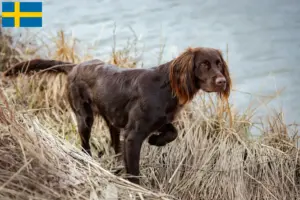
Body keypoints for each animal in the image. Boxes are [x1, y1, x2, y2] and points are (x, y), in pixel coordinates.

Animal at [4, 47, 232, 184]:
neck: (166, 87)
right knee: (85, 145)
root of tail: (75, 66)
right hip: (84, 117)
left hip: (111, 118)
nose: (222, 81)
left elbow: (172, 132)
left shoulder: (160, 121)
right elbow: (134, 171)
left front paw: (156, 140)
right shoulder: (133, 135)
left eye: (219, 63)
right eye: (204, 64)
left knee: (114, 143)